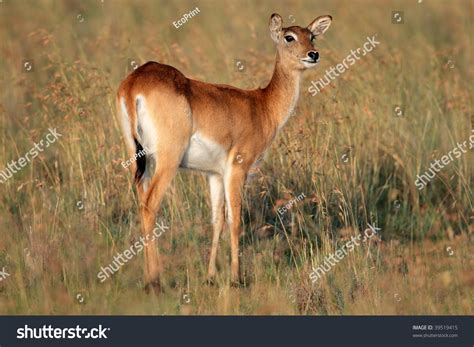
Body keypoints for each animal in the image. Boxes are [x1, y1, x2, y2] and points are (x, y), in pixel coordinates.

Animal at [116, 12, 332, 290]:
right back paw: (155, 281)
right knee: (149, 205)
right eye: (289, 36)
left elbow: (217, 220)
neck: (263, 106)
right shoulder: (237, 169)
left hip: (139, 160)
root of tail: (134, 83)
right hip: (167, 160)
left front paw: (210, 276)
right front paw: (235, 278)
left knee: (141, 201)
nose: (313, 54)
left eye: (312, 35)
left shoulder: (215, 174)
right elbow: (235, 220)